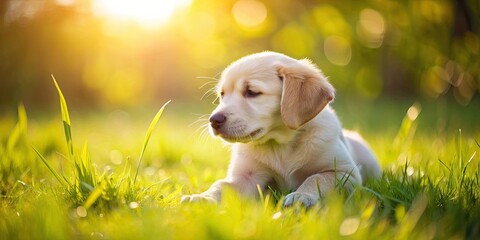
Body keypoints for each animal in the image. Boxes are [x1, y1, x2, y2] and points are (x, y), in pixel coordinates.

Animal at [182, 51, 380, 207]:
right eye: (222, 95)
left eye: (252, 92)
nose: (213, 120)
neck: (280, 144)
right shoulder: (245, 177)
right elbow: (221, 185)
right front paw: (202, 197)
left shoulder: (344, 173)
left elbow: (316, 178)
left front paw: (301, 196)